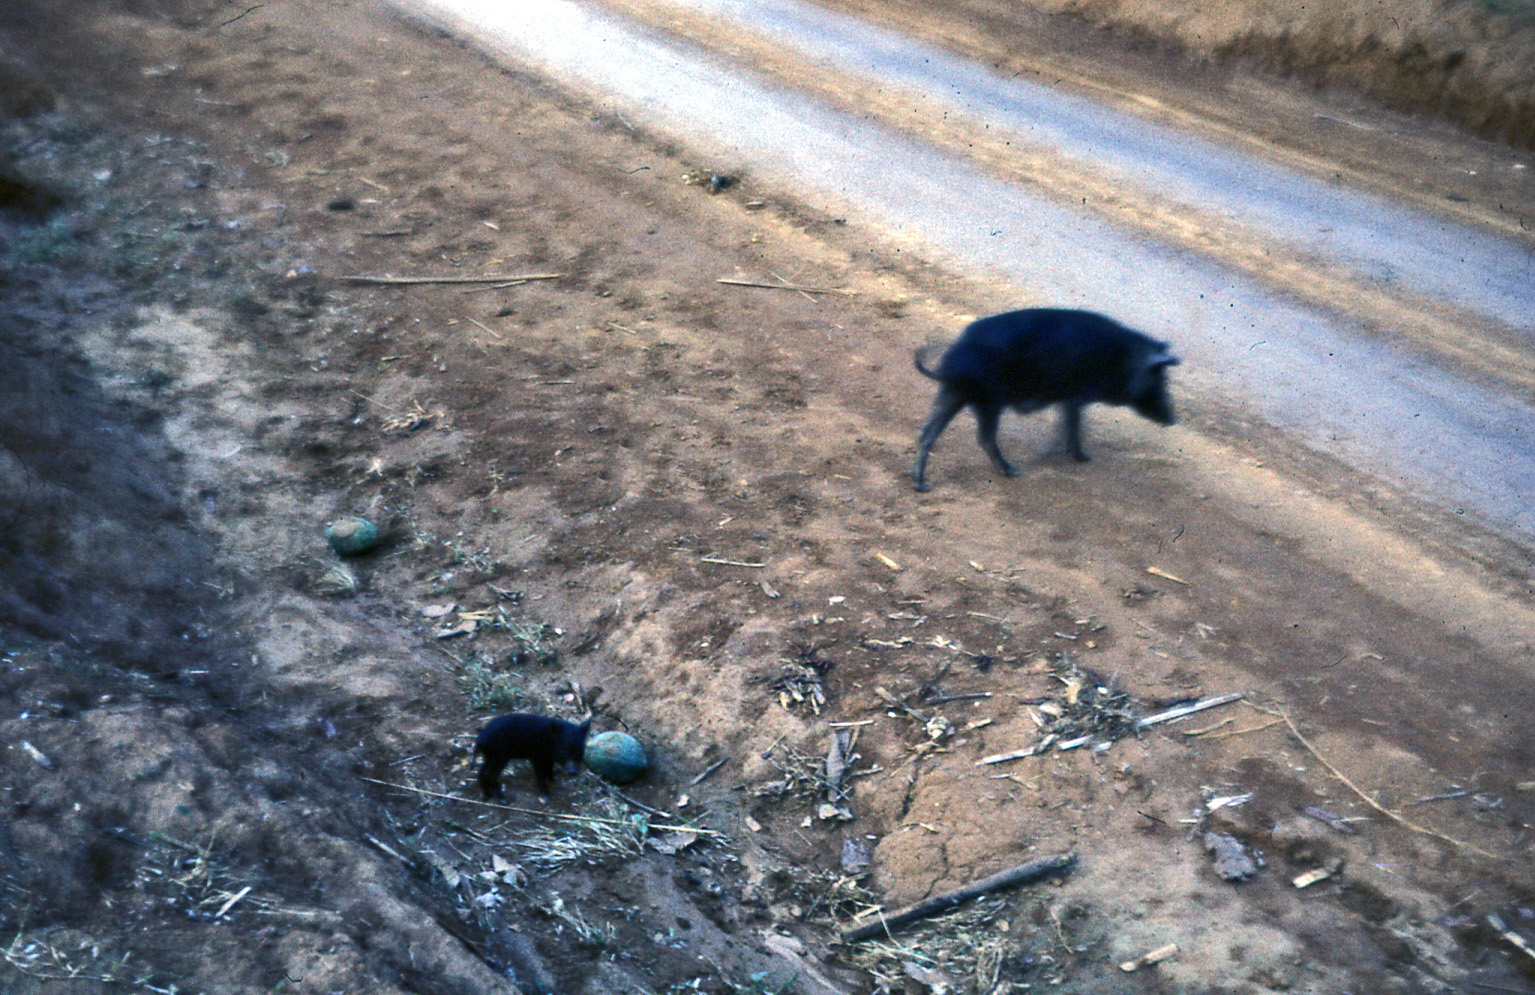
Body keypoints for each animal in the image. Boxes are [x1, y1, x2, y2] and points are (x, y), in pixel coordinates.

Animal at [910, 308, 1179, 491]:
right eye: (1160, 380)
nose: (1173, 419)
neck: (1121, 359)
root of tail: (952, 362)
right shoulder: (1075, 396)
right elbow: (1073, 425)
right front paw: (1082, 458)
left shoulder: (1068, 399)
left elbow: (1067, 424)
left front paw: (1058, 452)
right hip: (988, 401)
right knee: (983, 438)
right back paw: (1012, 471)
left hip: (953, 394)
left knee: (927, 433)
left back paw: (920, 484)